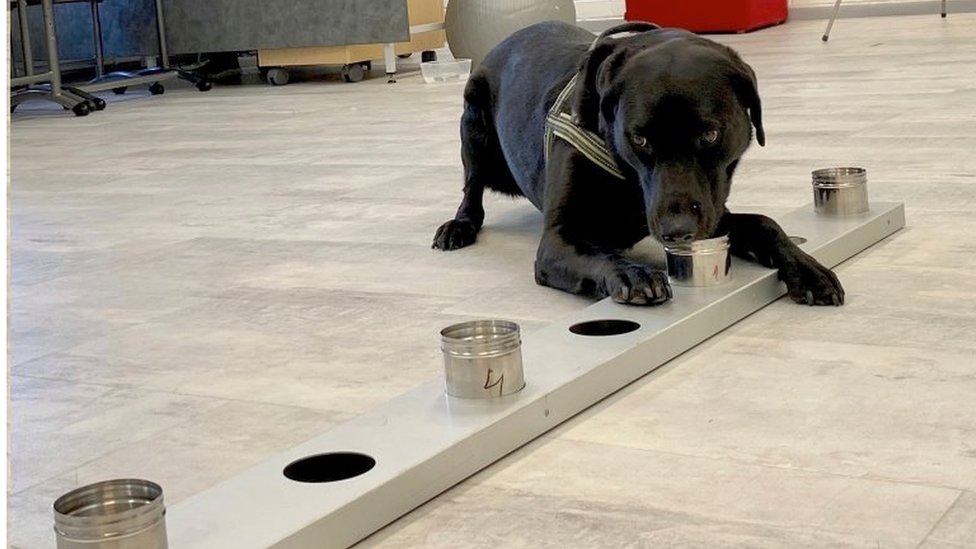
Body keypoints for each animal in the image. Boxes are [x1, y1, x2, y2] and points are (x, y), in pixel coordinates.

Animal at [430, 21, 844, 306]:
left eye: (710, 134)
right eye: (639, 139)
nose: (678, 232)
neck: (627, 179)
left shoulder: (710, 212)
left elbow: (763, 223)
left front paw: (808, 269)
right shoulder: (558, 241)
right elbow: (596, 252)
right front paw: (631, 273)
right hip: (473, 127)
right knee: (471, 188)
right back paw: (458, 227)